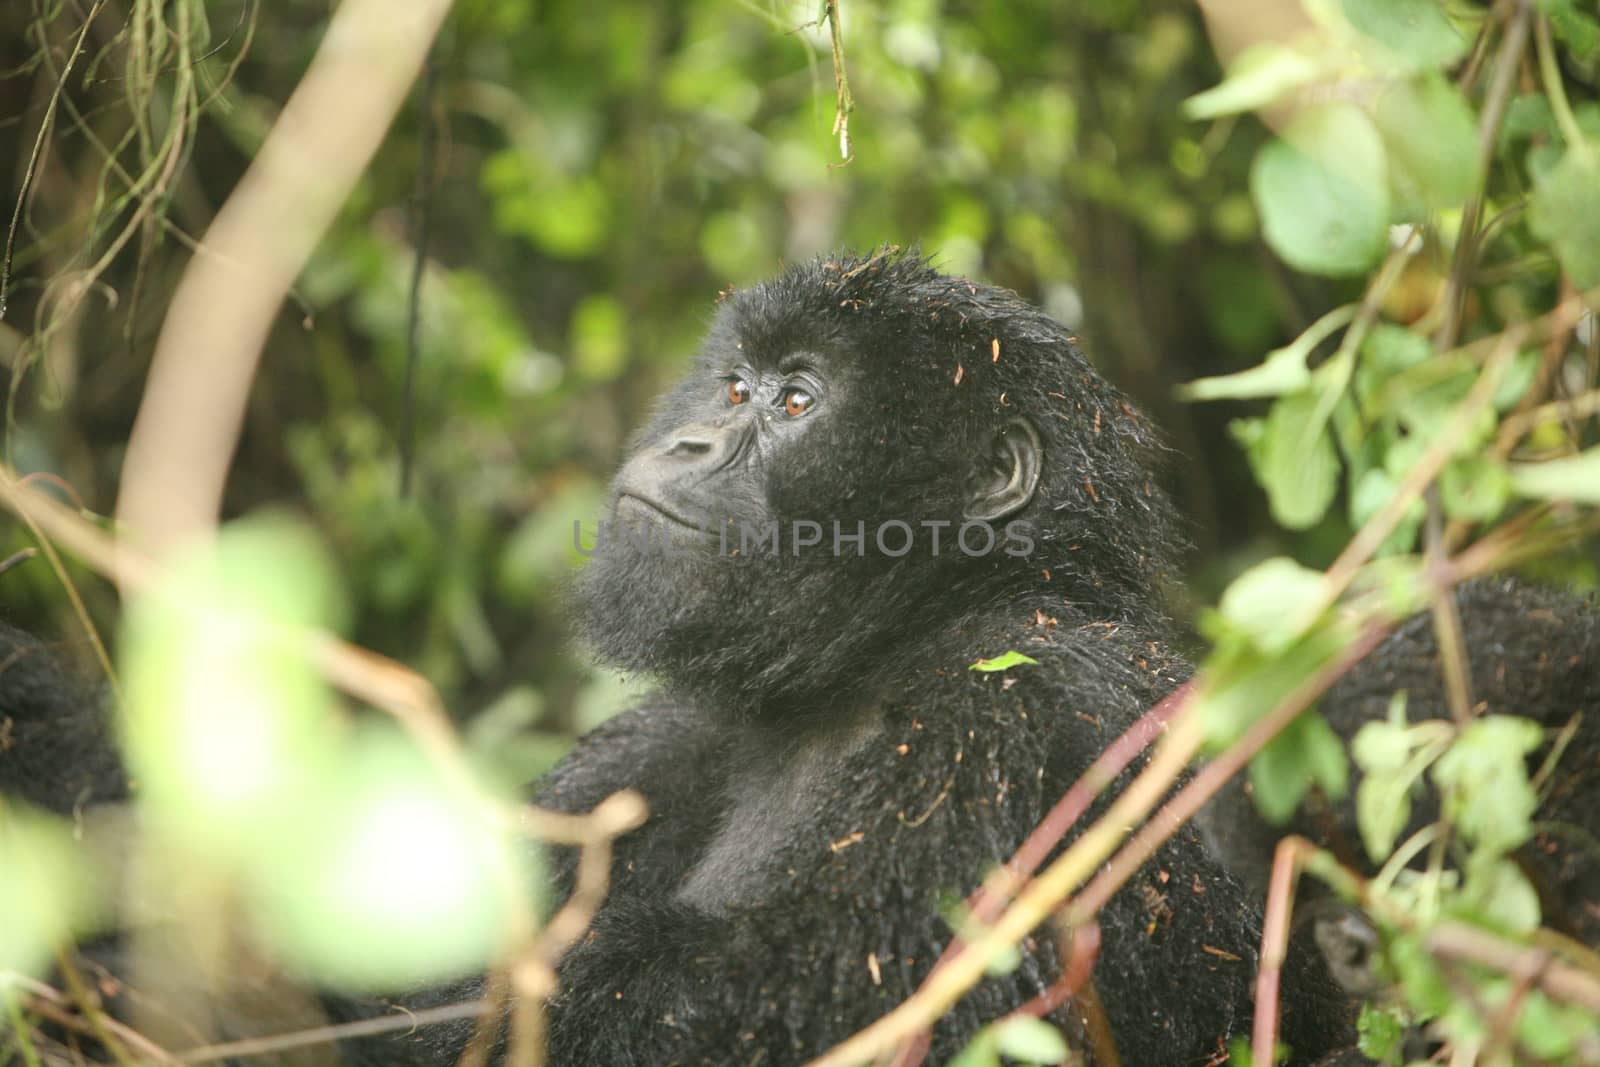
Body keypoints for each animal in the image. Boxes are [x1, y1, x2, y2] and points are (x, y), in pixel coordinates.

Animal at [0, 252, 1593, 1067]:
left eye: (796, 402)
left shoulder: (1015, 712)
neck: (881, 641)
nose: (690, 444)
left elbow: (716, 1019)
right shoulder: (666, 735)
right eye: (732, 385)